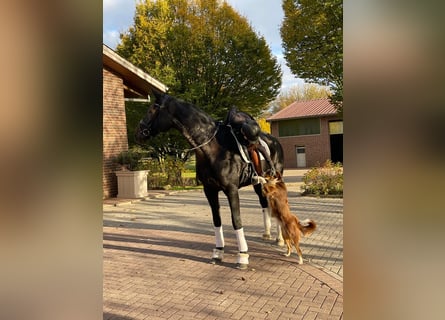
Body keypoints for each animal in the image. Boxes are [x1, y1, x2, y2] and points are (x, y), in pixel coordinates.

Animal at [134, 91, 282, 268]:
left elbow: (236, 220)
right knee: (264, 203)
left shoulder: (231, 190)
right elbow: (216, 220)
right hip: (258, 184)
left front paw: (242, 256)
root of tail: (274, 141)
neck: (213, 148)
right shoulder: (209, 190)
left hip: (275, 179)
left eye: (152, 109)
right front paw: (218, 252)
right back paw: (266, 233)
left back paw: (280, 239)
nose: (138, 132)